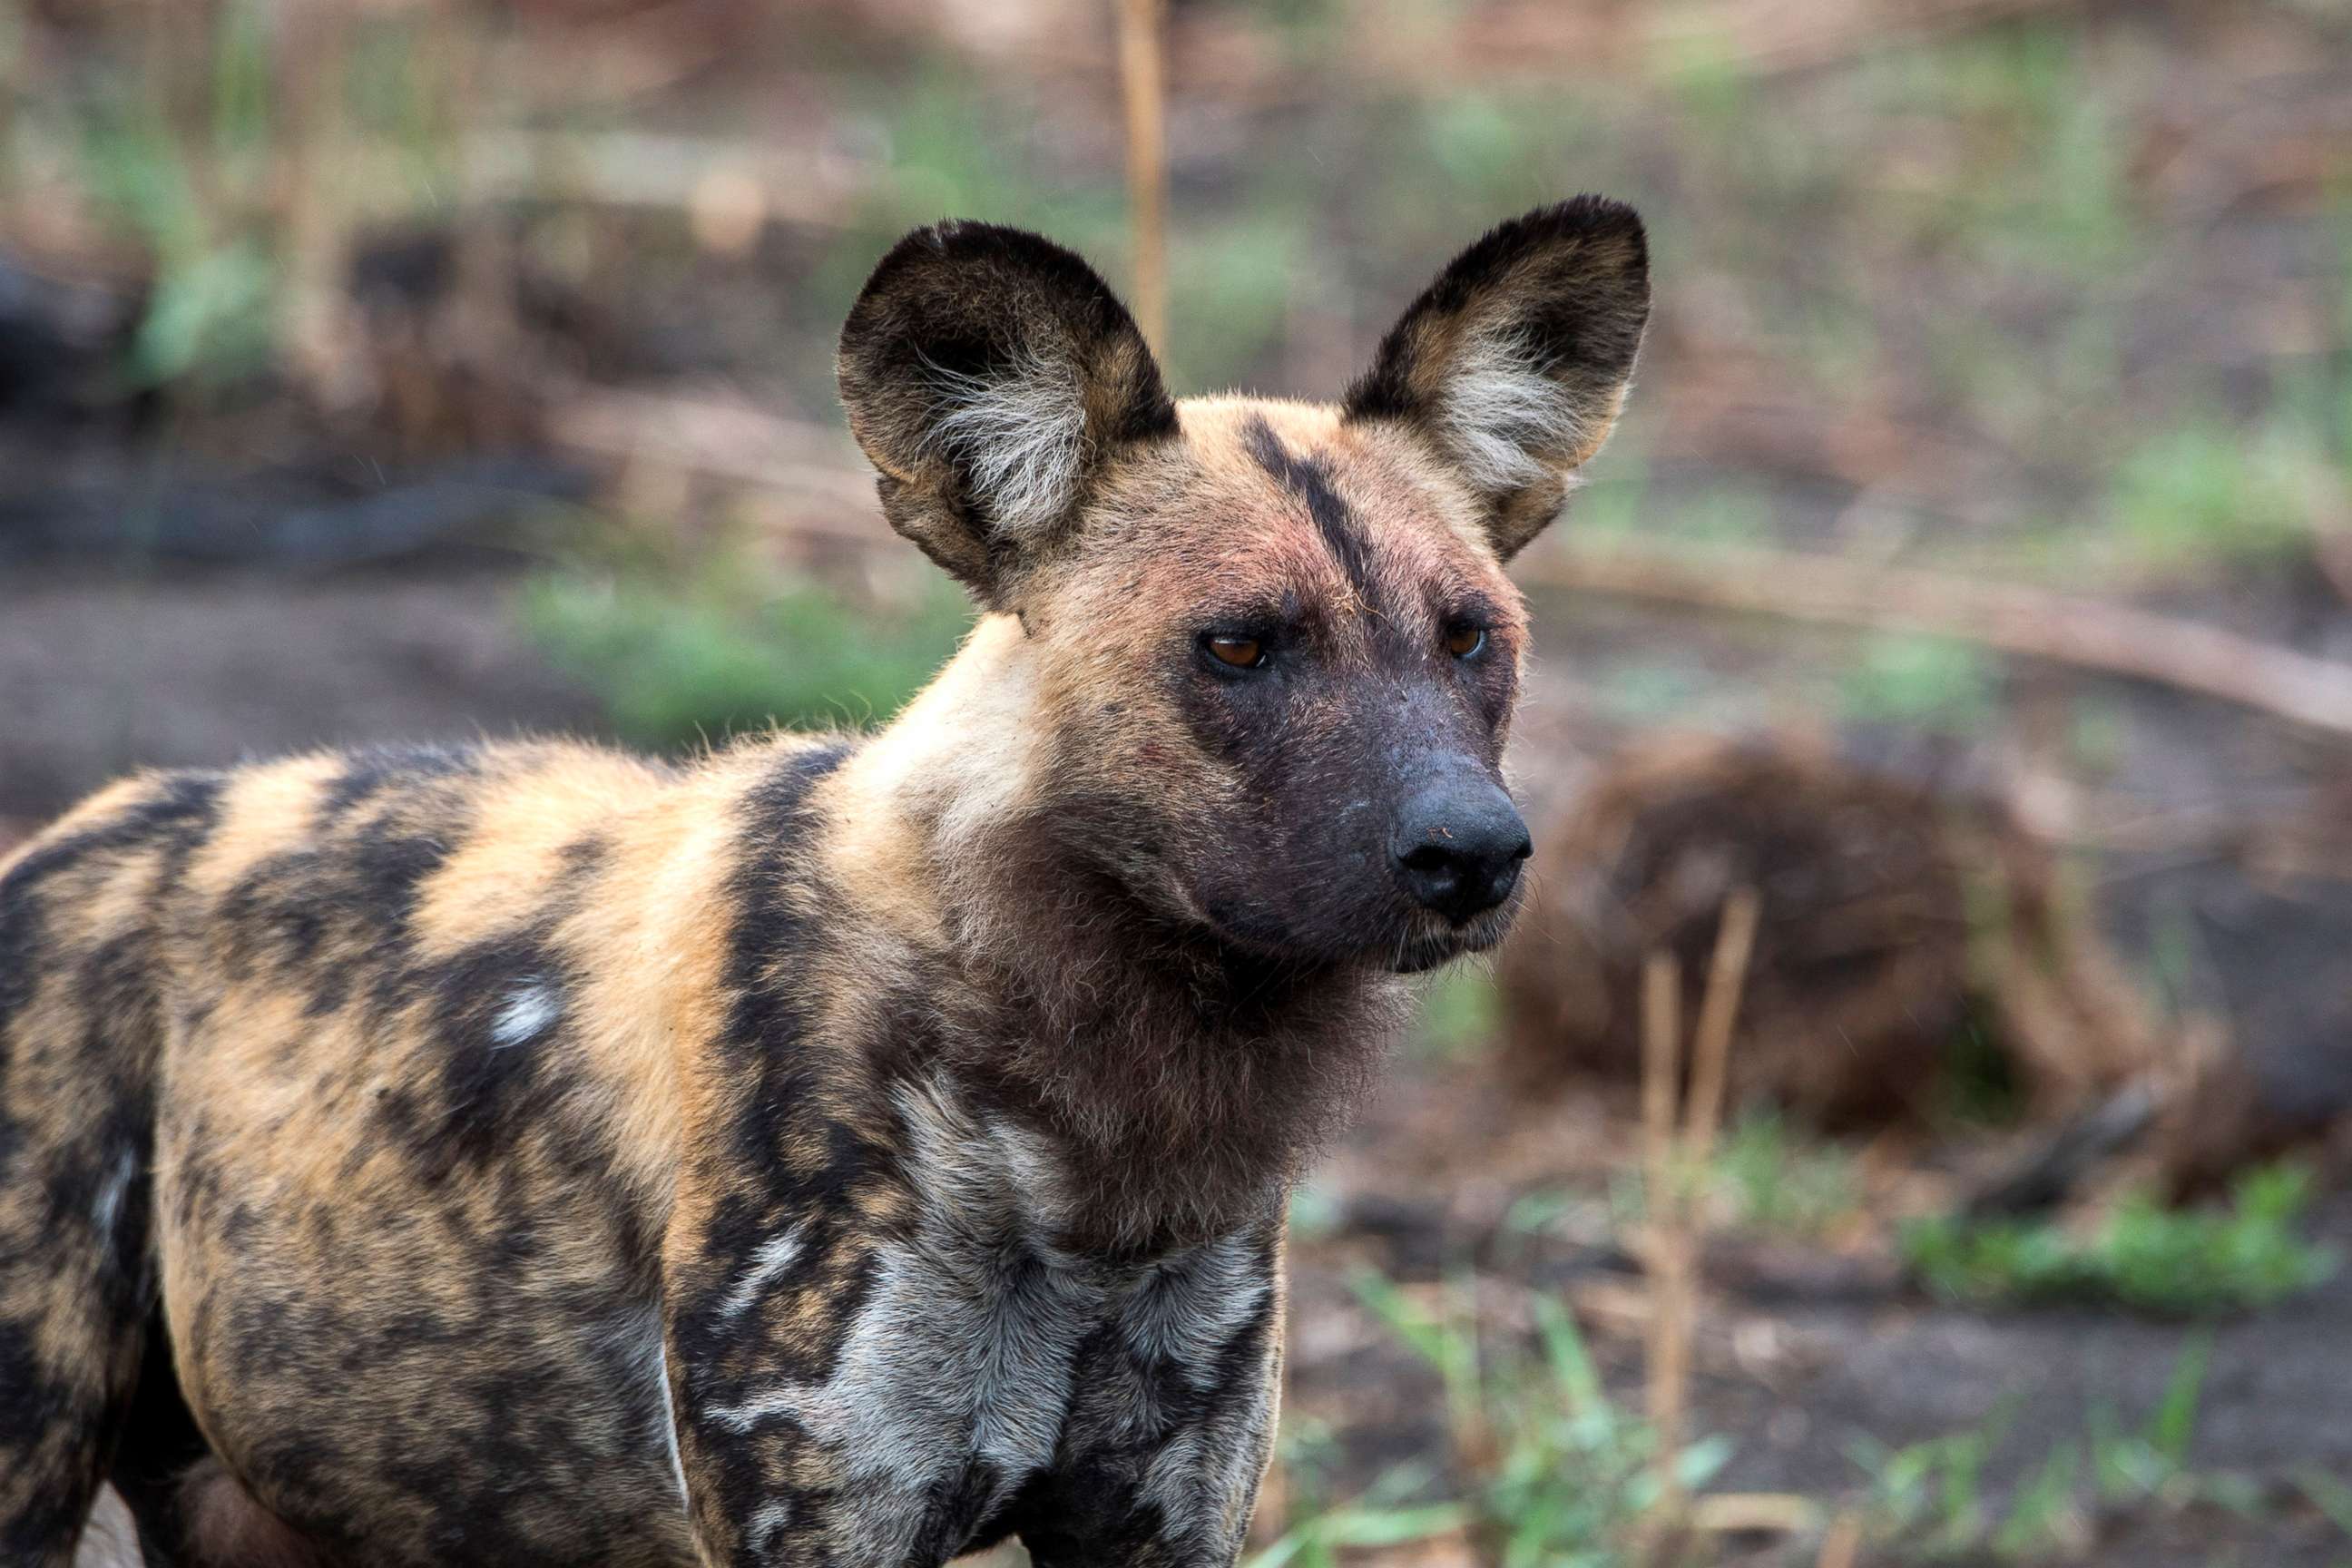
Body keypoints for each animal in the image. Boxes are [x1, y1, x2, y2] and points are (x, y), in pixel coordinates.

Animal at [0, 200, 1655, 1568]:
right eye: (1238, 646)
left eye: (1468, 636)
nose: (1474, 853)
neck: (1092, 1142)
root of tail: (66, 835)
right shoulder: (823, 1516)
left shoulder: (1165, 1514)